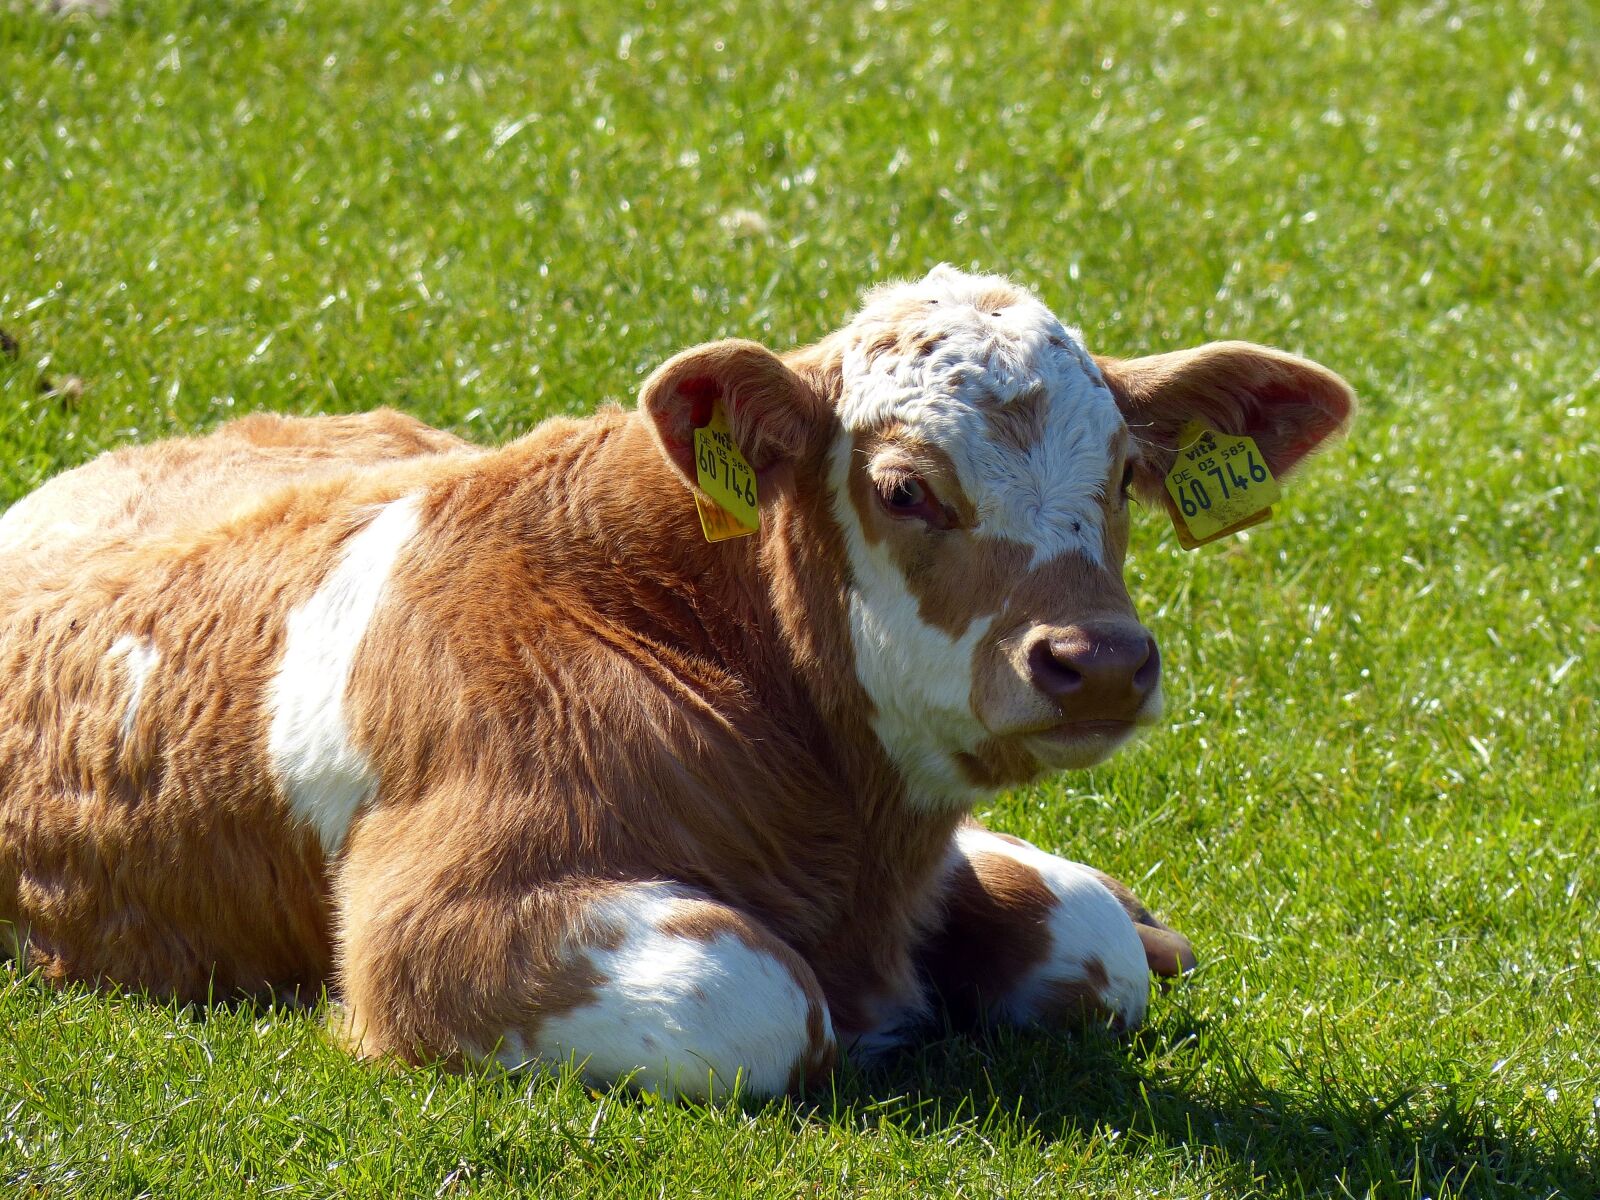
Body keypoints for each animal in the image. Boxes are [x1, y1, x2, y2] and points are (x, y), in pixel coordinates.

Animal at [0, 266, 1353, 1099]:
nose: (1099, 660)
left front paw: (1118, 920)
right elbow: (756, 994)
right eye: (905, 488)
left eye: (1122, 476)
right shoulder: (421, 926)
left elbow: (1084, 948)